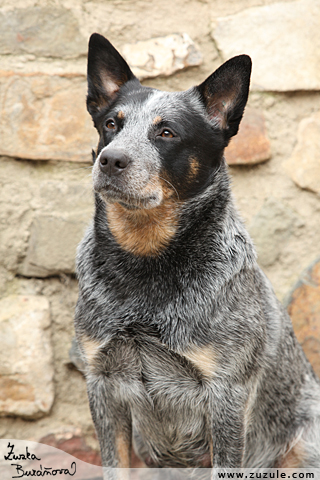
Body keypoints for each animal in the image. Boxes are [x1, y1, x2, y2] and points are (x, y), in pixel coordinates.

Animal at [74, 33, 320, 476]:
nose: (110, 159)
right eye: (111, 124)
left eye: (167, 132)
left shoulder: (227, 395)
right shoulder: (101, 383)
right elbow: (114, 463)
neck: (146, 264)